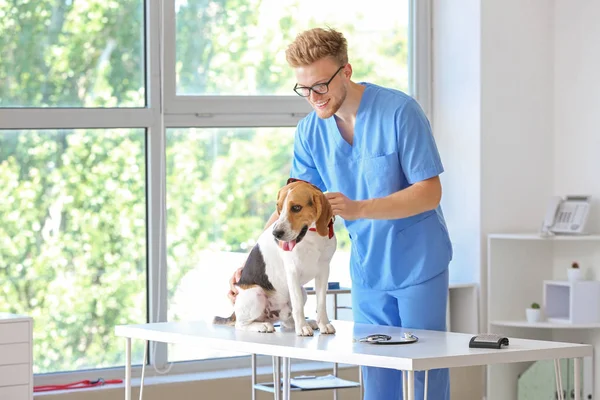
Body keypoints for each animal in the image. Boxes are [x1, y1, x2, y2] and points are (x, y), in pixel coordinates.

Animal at [214, 180, 338, 336]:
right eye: (279, 208)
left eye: (296, 208)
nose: (276, 233)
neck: (312, 236)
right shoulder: (292, 271)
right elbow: (298, 306)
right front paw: (302, 328)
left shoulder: (323, 270)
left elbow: (321, 303)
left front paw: (324, 324)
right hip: (256, 293)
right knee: (240, 325)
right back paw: (263, 326)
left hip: (302, 291)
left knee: (286, 321)